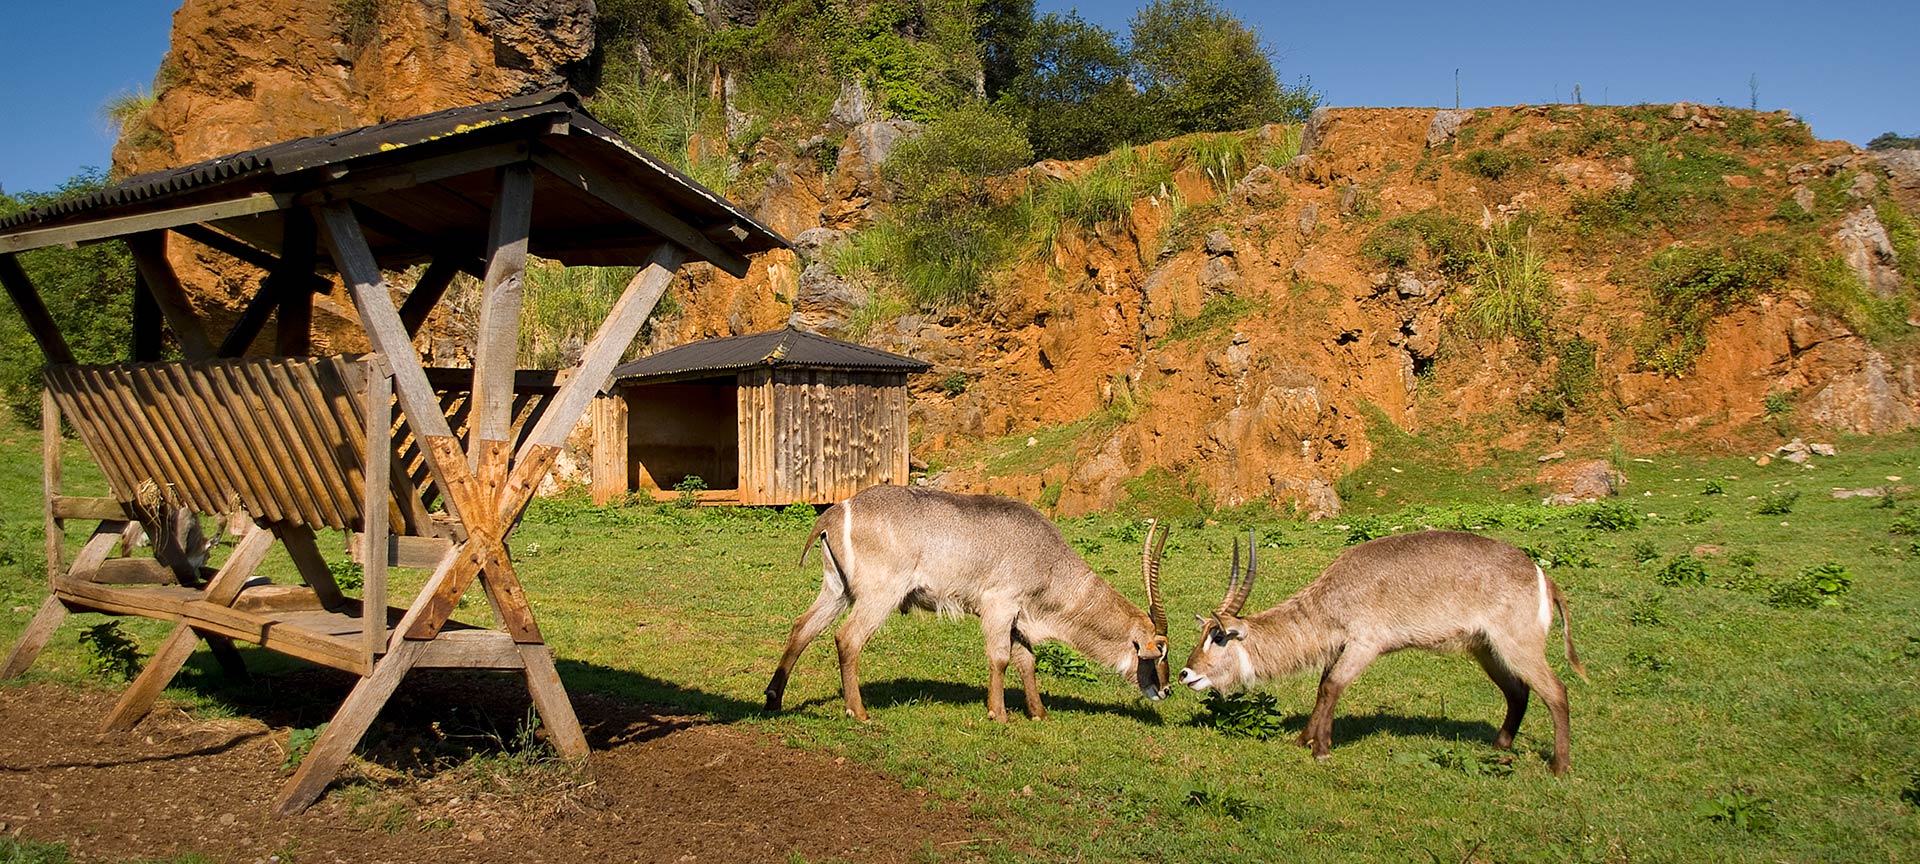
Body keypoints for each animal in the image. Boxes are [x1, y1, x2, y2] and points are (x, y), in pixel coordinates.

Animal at [764, 485, 1167, 721]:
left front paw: (1039, 713)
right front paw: (998, 714)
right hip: (879, 595)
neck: (1048, 558)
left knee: (802, 628)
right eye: (1160, 648)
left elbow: (1027, 661)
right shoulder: (1000, 606)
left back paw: (773, 699)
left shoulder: (1017, 617)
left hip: (837, 590)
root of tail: (838, 511)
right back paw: (858, 712)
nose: (1164, 690)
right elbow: (1001, 658)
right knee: (848, 638)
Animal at [1182, 529, 1589, 771]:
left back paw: (1560, 767)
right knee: (1518, 692)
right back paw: (1499, 746)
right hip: (1487, 649)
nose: (1187, 673)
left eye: (1218, 637)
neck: (1334, 593)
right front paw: (1303, 739)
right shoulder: (1340, 646)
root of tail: (1541, 575)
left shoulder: (1365, 644)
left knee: (1556, 691)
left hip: (1517, 646)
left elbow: (1333, 687)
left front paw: (1321, 749)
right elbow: (1323, 688)